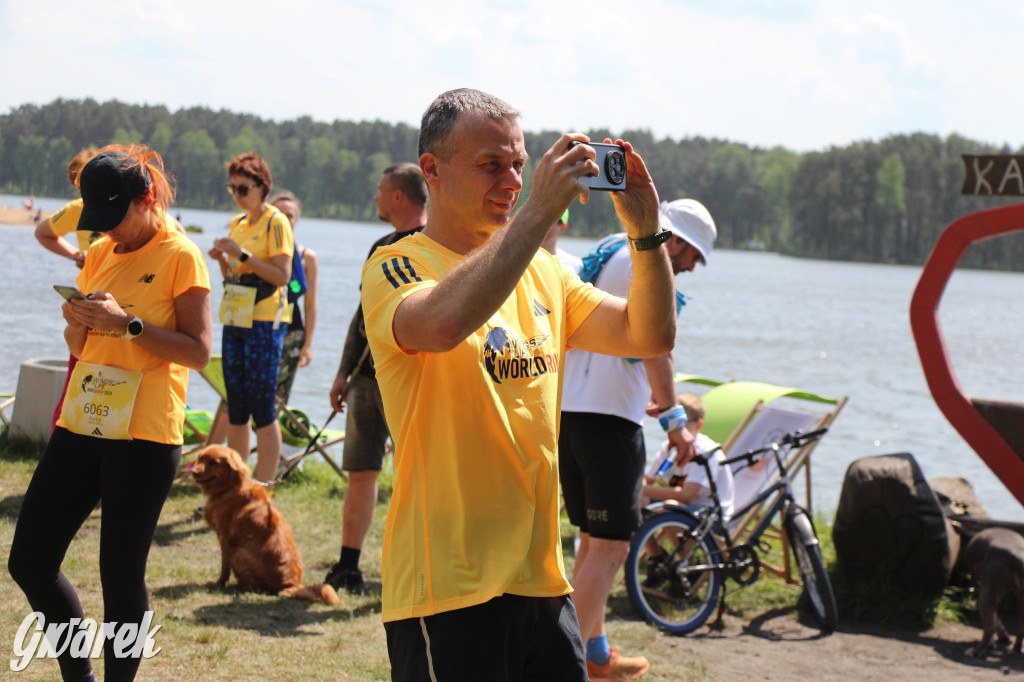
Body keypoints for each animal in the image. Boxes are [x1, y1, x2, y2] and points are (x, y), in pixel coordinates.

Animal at [193, 444, 346, 602]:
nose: (193, 473)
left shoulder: (225, 538)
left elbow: (224, 566)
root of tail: (292, 585)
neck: (231, 488)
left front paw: (219, 583)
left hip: (238, 552)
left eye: (213, 462)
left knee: (256, 588)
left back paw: (239, 586)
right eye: (200, 459)